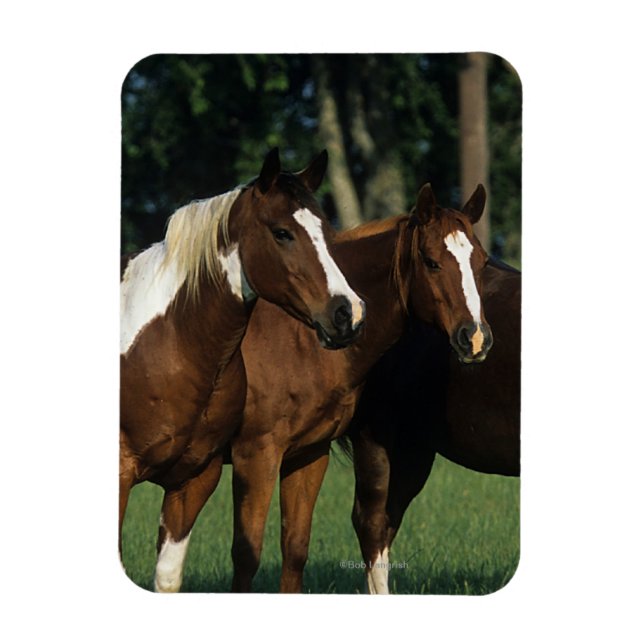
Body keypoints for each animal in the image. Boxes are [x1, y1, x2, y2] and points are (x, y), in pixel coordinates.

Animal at [120, 148, 365, 592]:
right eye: (282, 233)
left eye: (327, 232)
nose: (347, 313)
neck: (169, 339)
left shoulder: (193, 480)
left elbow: (168, 577)